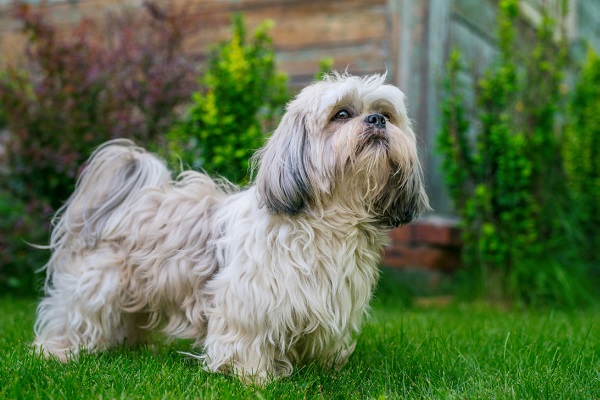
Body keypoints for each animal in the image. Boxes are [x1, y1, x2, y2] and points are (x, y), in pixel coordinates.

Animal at [34, 72, 426, 384]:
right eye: (341, 114)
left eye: (387, 113)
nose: (376, 120)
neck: (329, 220)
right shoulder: (250, 300)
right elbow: (247, 340)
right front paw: (255, 378)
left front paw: (323, 370)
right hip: (98, 285)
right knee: (72, 317)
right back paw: (59, 352)